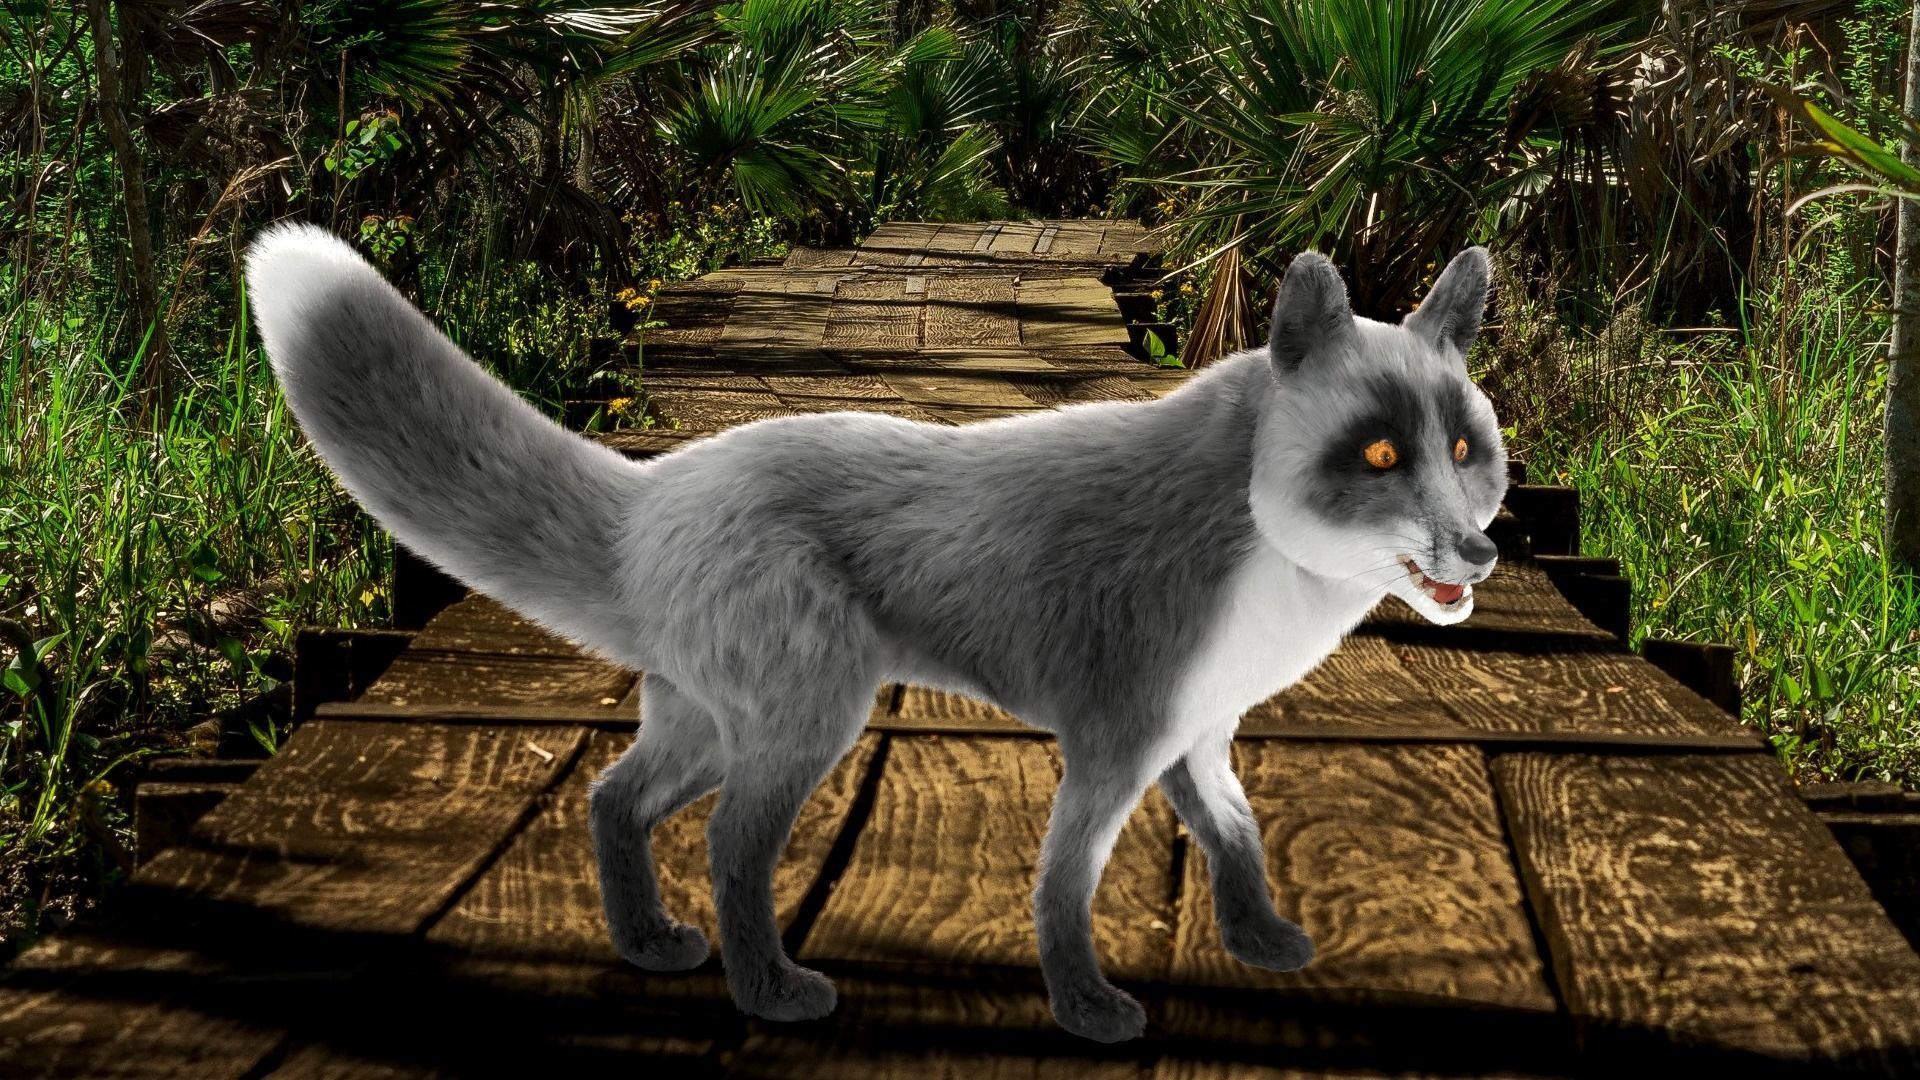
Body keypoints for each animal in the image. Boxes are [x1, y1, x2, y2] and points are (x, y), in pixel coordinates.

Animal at [245, 224, 1506, 1043]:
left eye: (1464, 451)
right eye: (1377, 455)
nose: (1482, 554)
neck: (1257, 553)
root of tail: (652, 495)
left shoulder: (1194, 739)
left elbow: (1238, 844)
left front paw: (1262, 946)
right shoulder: (1112, 745)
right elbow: (1064, 891)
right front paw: (1088, 1010)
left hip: (709, 729)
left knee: (610, 800)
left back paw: (647, 943)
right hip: (808, 724)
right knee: (729, 849)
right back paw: (770, 993)